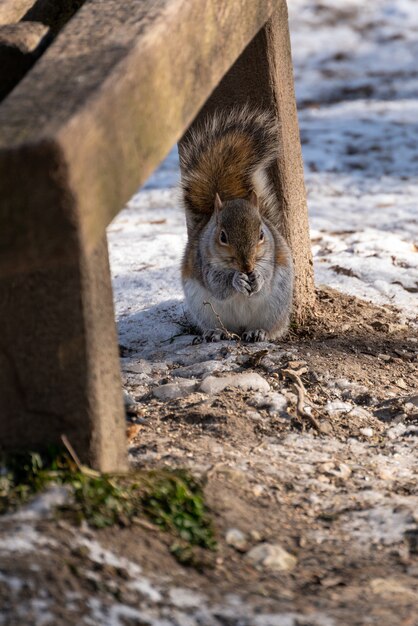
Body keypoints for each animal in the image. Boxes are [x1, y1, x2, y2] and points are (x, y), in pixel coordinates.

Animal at [180, 107, 294, 342]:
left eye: (261, 234)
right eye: (222, 237)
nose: (247, 267)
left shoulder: (270, 258)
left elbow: (265, 280)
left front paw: (257, 278)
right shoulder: (203, 262)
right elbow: (218, 285)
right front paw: (236, 281)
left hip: (276, 307)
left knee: (272, 328)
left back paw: (258, 331)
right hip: (204, 309)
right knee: (220, 326)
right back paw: (216, 333)